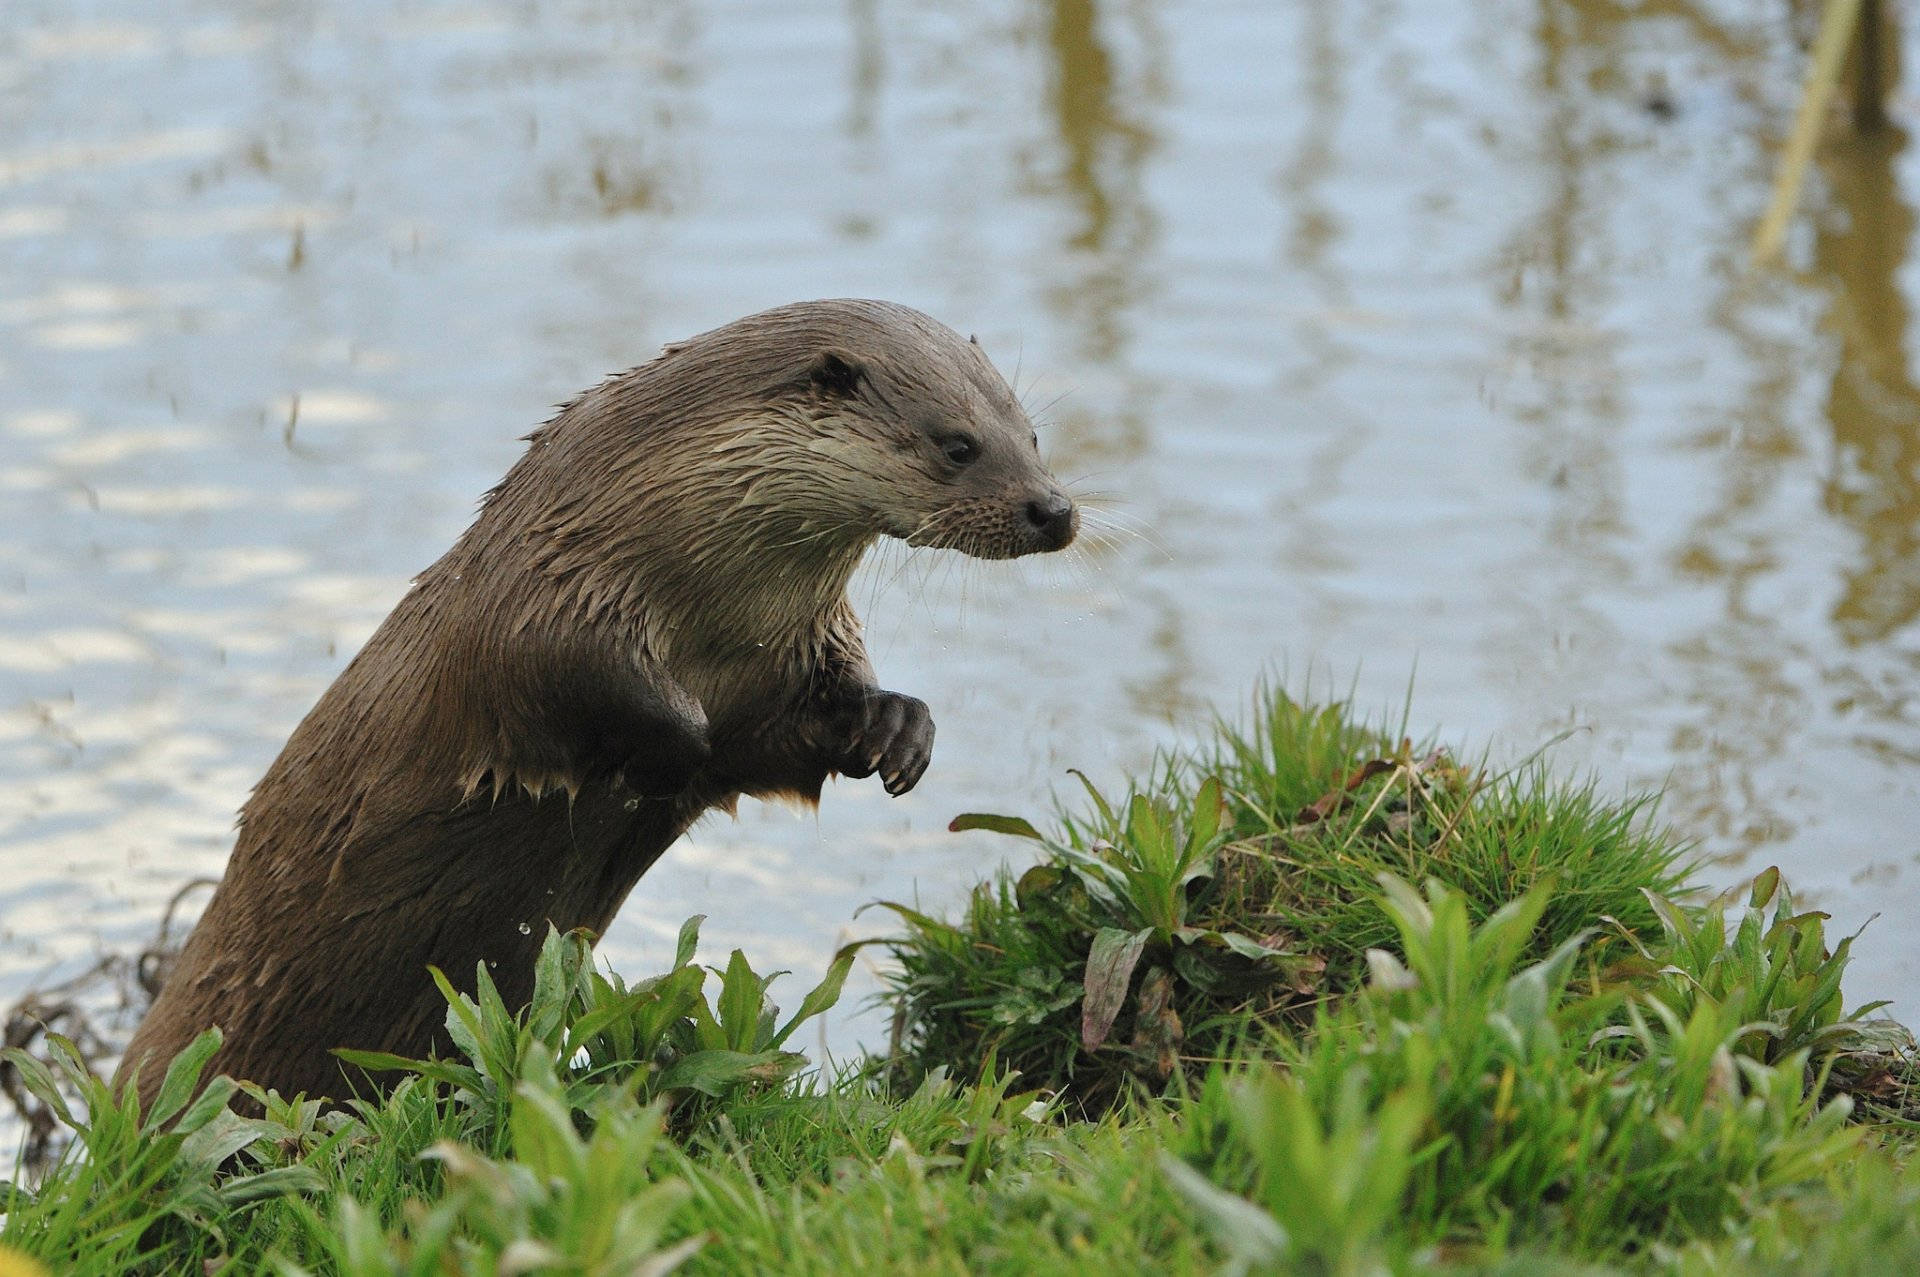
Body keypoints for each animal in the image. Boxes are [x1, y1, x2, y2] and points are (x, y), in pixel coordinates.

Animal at [119, 299, 1078, 1108]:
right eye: (958, 444)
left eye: (1032, 432)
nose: (1055, 508)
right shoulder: (542, 606)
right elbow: (575, 693)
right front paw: (672, 751)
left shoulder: (795, 650)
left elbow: (784, 741)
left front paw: (896, 727)